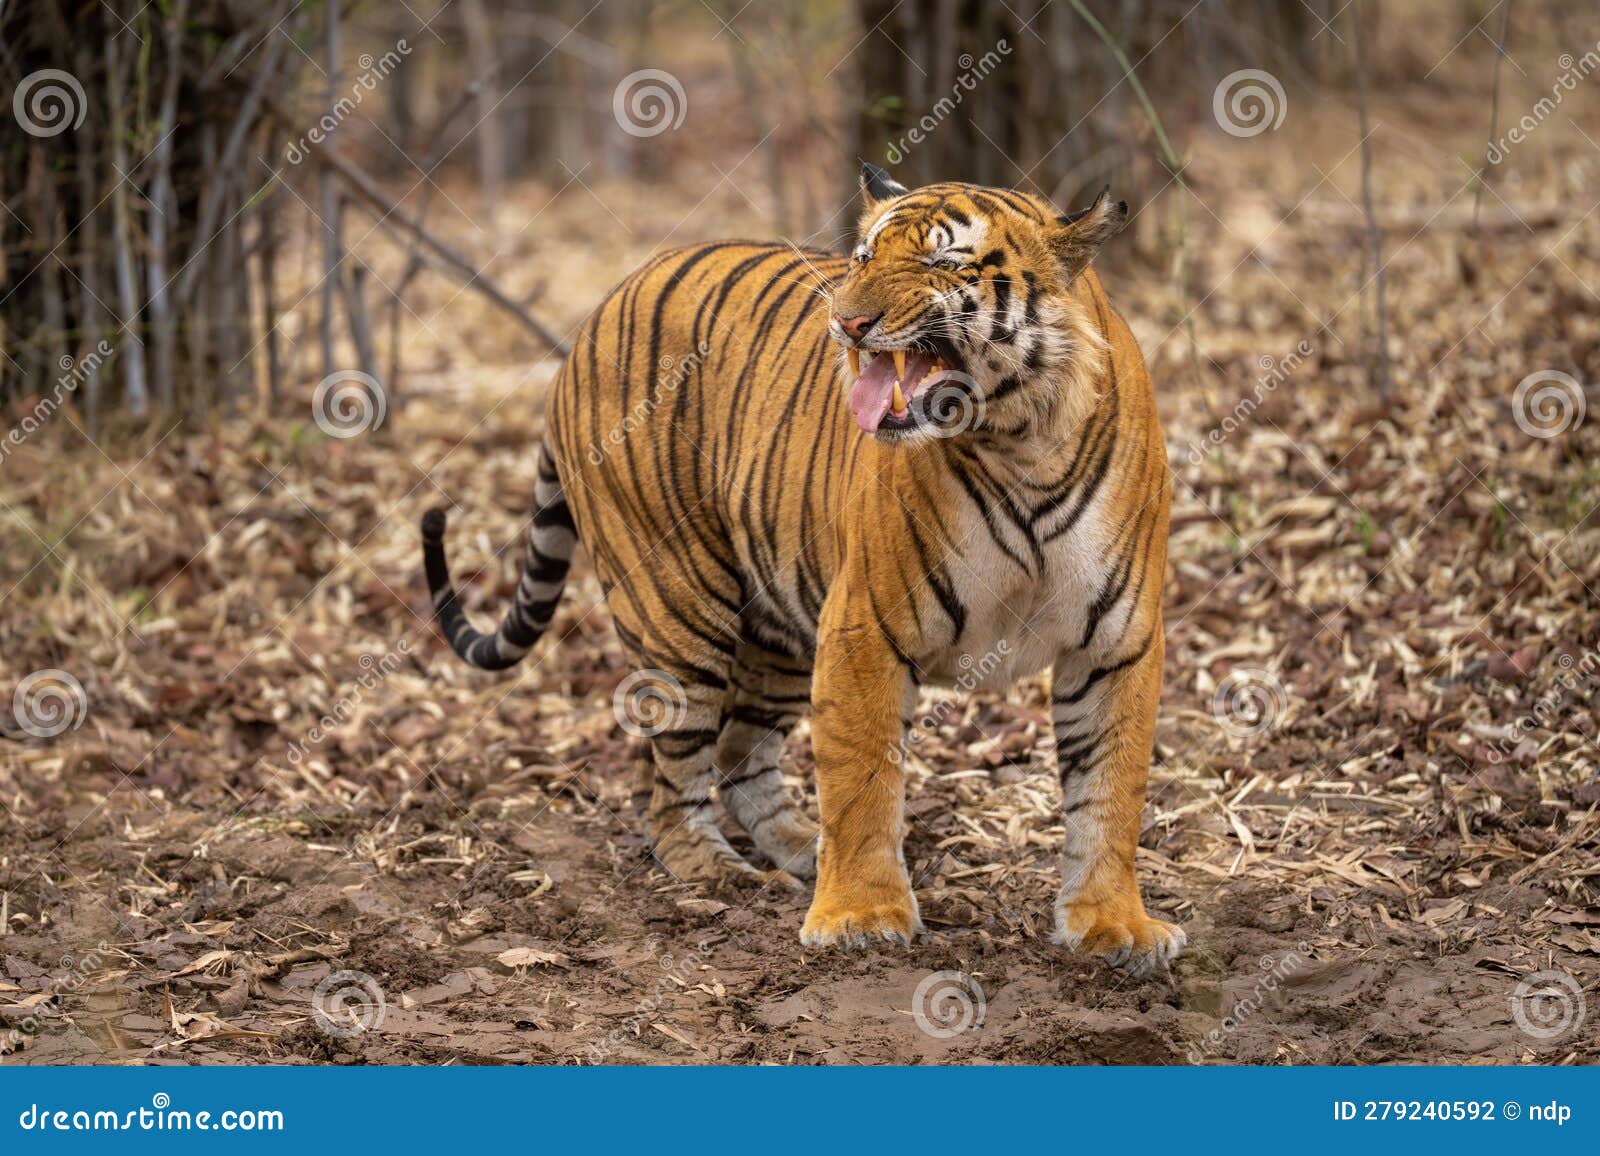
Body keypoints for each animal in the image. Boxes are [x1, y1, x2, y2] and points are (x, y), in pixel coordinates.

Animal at [421, 164, 1185, 976]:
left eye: (943, 261)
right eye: (863, 257)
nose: (847, 324)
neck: (1020, 441)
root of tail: (595, 312)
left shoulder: (1116, 642)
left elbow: (1110, 790)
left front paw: (1113, 923)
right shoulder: (866, 625)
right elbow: (860, 775)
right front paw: (860, 914)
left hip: (780, 623)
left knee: (739, 753)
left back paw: (798, 847)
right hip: (679, 607)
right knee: (673, 777)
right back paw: (721, 870)